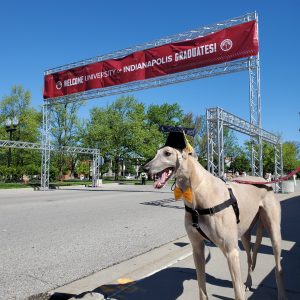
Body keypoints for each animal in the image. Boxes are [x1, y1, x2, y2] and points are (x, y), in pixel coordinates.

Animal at [144, 146, 288, 300]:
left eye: (167, 153)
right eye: (156, 152)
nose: (144, 168)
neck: (197, 192)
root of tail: (262, 180)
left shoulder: (231, 251)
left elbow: (238, 293)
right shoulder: (198, 248)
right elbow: (202, 287)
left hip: (274, 233)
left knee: (278, 266)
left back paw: (281, 293)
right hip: (244, 234)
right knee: (250, 259)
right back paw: (248, 282)